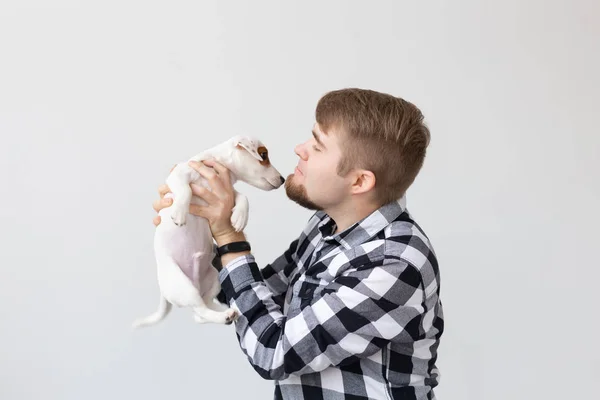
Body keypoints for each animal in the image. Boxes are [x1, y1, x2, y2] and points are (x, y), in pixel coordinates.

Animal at [134, 136, 286, 330]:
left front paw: (239, 217)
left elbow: (243, 197)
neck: (217, 166)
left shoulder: (229, 193)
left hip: (214, 278)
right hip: (183, 285)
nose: (283, 179)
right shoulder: (178, 175)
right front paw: (180, 213)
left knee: (201, 310)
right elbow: (186, 190)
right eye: (264, 155)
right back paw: (225, 315)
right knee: (199, 310)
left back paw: (227, 313)